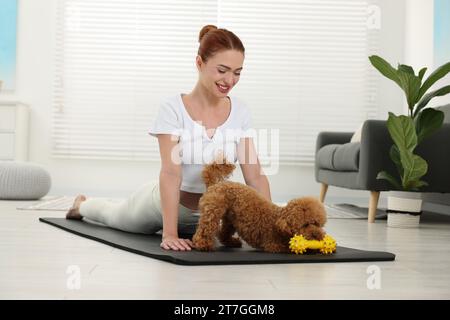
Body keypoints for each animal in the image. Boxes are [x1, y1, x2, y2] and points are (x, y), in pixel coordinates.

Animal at [192, 159, 326, 254]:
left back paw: (231, 242)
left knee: (223, 232)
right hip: (213, 211)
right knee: (206, 229)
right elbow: (287, 247)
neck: (279, 221)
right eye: (305, 225)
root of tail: (215, 184)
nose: (318, 236)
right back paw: (203, 244)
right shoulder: (274, 244)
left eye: (318, 224)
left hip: (230, 218)